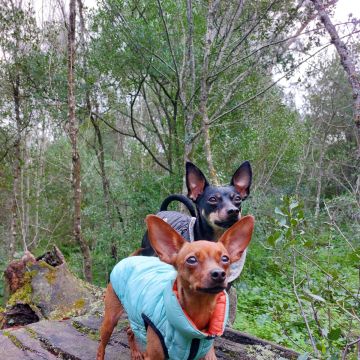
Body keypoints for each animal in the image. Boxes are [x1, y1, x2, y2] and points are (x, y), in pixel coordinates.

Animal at [95, 215, 253, 358]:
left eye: (225, 259)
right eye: (191, 260)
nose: (219, 274)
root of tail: (129, 258)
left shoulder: (207, 355)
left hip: (135, 315)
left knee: (130, 330)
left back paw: (135, 353)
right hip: (110, 319)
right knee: (102, 345)